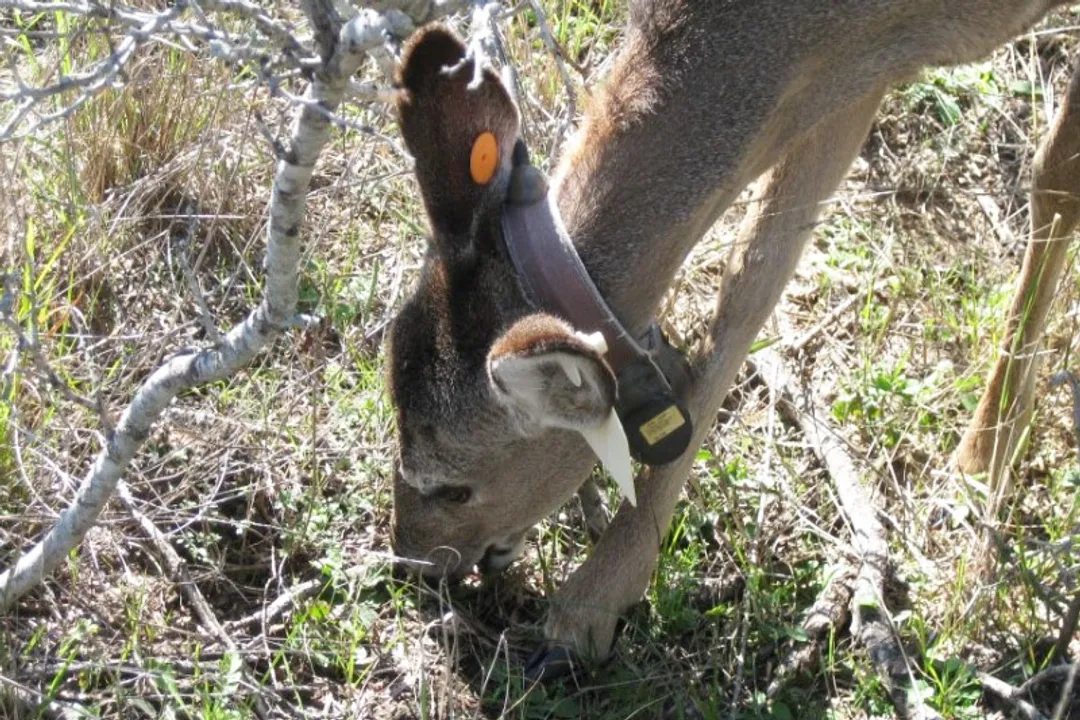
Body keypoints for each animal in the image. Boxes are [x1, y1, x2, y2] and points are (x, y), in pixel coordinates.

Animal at [385, 0, 1080, 679]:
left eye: (453, 485)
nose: (412, 565)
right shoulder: (847, 74)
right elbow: (753, 275)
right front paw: (599, 599)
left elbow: (1055, 173)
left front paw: (977, 469)